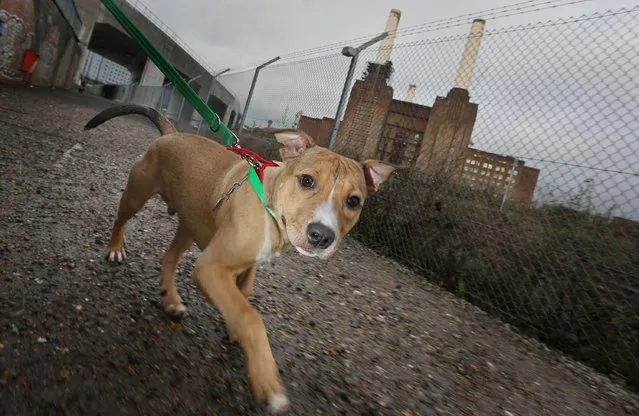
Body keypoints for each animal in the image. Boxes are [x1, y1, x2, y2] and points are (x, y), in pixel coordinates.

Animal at [85, 105, 396, 412]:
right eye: (307, 180)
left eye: (353, 201)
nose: (322, 235)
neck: (270, 204)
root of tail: (171, 133)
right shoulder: (211, 268)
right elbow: (250, 317)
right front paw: (266, 381)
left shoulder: (247, 266)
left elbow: (243, 296)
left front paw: (235, 329)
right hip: (136, 196)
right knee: (121, 220)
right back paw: (115, 247)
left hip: (190, 225)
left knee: (169, 258)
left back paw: (171, 301)